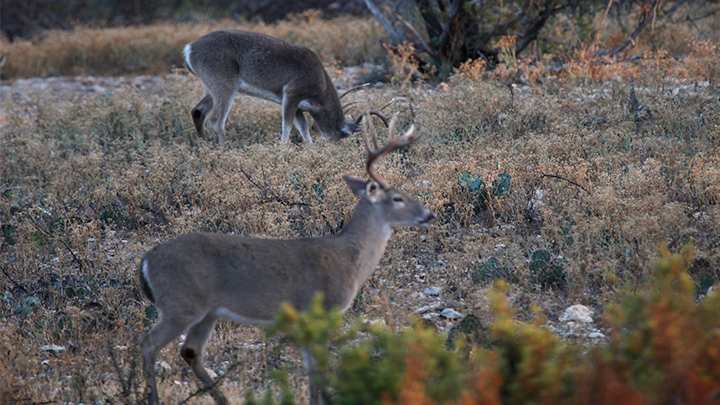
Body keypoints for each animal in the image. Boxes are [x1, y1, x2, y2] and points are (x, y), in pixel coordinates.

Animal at [138, 115, 436, 402]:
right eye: (397, 198)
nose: (429, 214)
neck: (348, 258)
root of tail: (147, 260)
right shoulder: (321, 309)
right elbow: (319, 374)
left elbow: (311, 372)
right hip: (181, 303)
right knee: (148, 343)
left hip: (207, 311)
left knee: (190, 351)